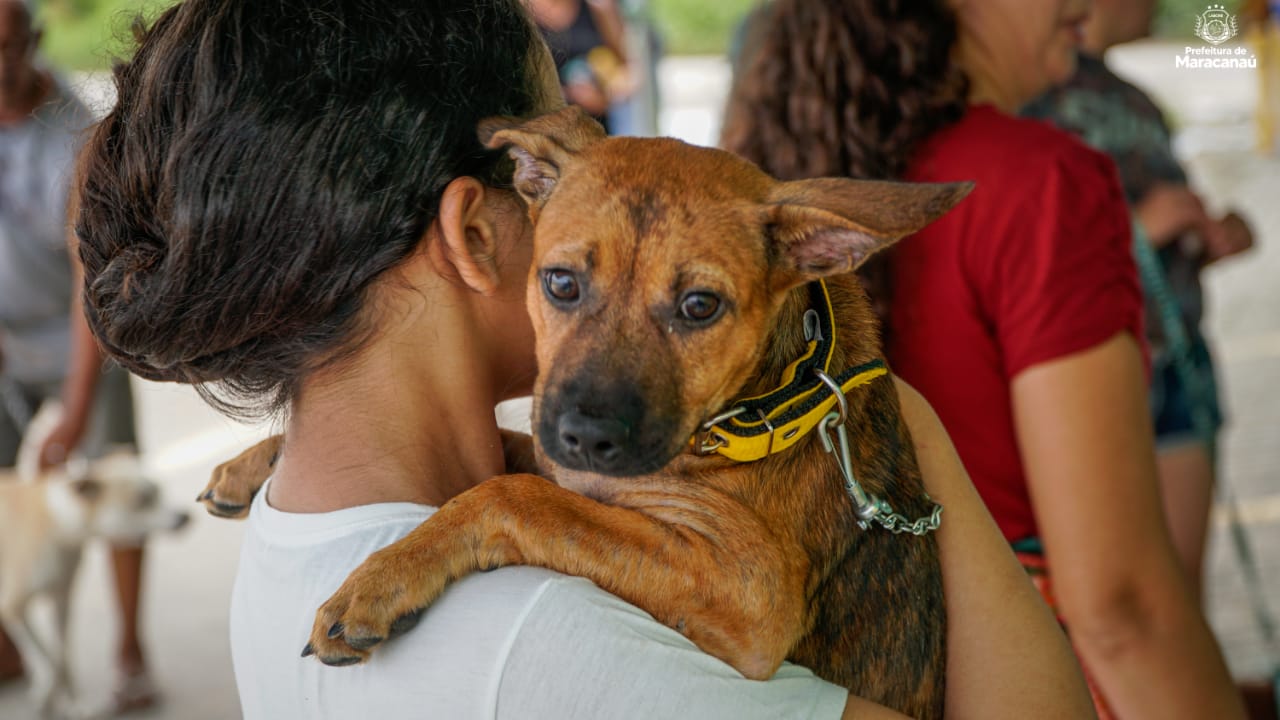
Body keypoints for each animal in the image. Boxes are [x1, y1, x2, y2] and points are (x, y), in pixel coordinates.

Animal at [0, 399, 188, 712]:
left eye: (158, 491)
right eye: (142, 501)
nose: (185, 517)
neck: (56, 524)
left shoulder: (62, 597)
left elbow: (61, 654)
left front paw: (71, 703)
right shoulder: (11, 606)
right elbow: (46, 655)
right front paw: (45, 695)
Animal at [207, 107, 967, 717]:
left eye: (701, 306)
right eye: (561, 283)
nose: (586, 436)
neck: (751, 406)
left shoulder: (753, 588)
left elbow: (512, 494)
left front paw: (382, 577)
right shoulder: (561, 456)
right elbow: (519, 462)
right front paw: (251, 464)